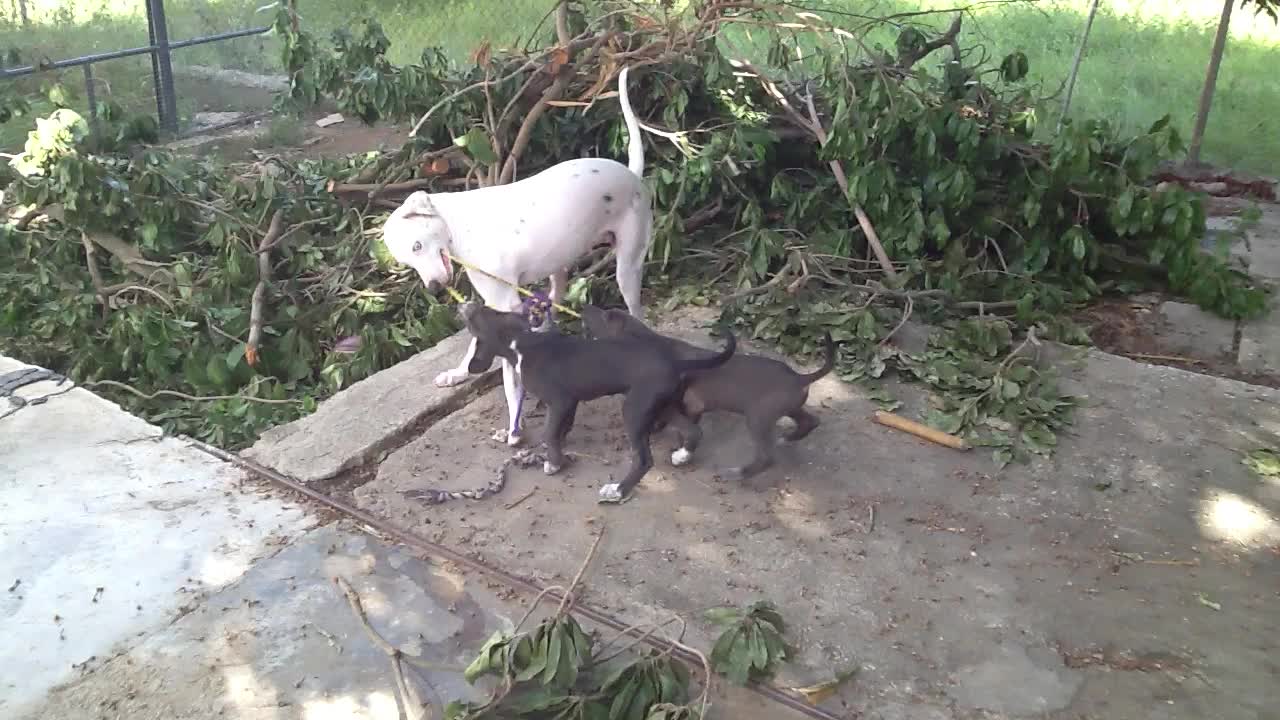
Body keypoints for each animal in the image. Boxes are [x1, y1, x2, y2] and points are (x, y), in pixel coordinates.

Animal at [378, 65, 650, 443]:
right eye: (407, 262)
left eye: (417, 245)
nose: (433, 288)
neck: (459, 226)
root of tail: (630, 173)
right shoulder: (492, 305)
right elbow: (475, 346)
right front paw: (458, 374)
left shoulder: (505, 305)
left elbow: (510, 380)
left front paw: (513, 425)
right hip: (558, 268)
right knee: (553, 301)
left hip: (628, 268)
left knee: (637, 312)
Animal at [460, 299, 742, 502]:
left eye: (478, 315)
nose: (464, 304)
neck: (522, 342)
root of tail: (676, 362)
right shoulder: (570, 402)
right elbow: (561, 428)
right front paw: (556, 452)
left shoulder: (560, 400)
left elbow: (549, 432)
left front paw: (554, 463)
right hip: (659, 405)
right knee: (693, 430)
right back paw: (682, 455)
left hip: (634, 409)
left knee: (644, 460)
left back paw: (617, 490)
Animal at [583, 301, 839, 476]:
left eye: (606, 315)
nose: (585, 306)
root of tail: (800, 378)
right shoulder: (692, 406)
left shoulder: (678, 403)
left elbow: (684, 428)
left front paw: (678, 452)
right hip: (789, 407)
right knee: (810, 421)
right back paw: (787, 438)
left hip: (758, 417)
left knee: (767, 457)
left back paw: (737, 473)